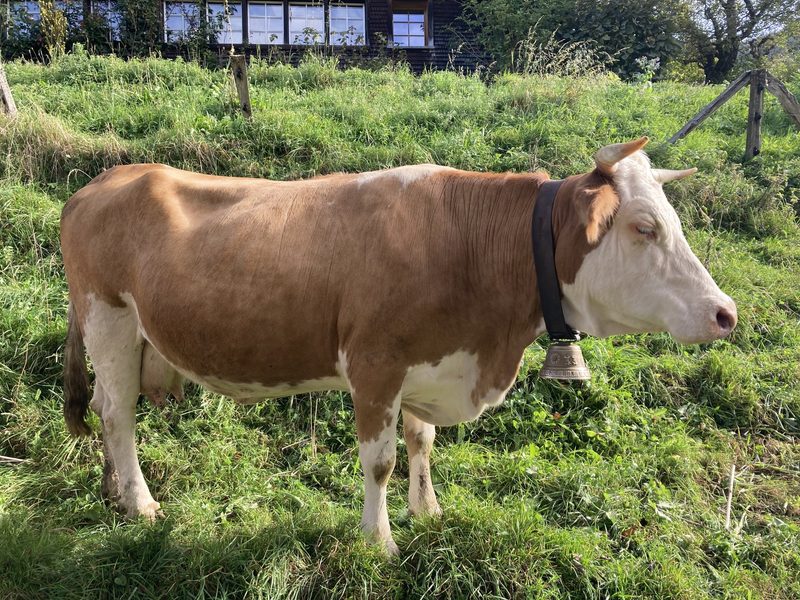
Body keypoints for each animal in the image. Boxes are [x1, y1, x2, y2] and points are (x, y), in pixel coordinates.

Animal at [60, 137, 737, 554]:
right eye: (644, 228)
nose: (725, 313)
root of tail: (105, 180)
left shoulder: (427, 363)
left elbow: (422, 442)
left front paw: (428, 510)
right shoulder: (375, 366)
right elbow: (380, 461)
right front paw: (381, 541)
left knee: (101, 408)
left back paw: (112, 491)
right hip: (109, 316)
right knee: (117, 415)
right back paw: (140, 502)